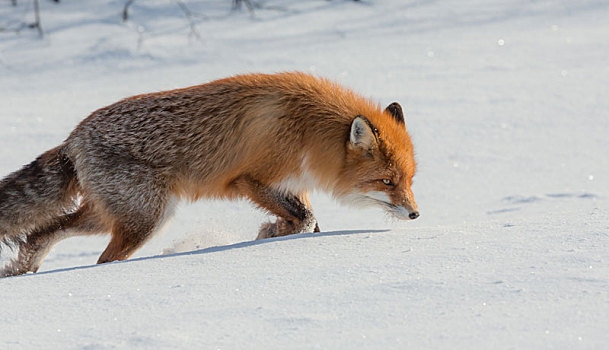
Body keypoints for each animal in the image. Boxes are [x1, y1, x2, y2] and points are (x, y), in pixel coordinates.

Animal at [0, 73, 418, 276]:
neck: (309, 130)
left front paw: (275, 234)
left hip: (111, 216)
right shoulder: (251, 180)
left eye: (410, 180)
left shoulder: (292, 185)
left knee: (44, 231)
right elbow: (305, 220)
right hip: (145, 220)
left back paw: (23, 270)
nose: (415, 214)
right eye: (387, 181)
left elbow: (309, 223)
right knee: (101, 260)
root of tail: (73, 137)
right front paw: (270, 234)